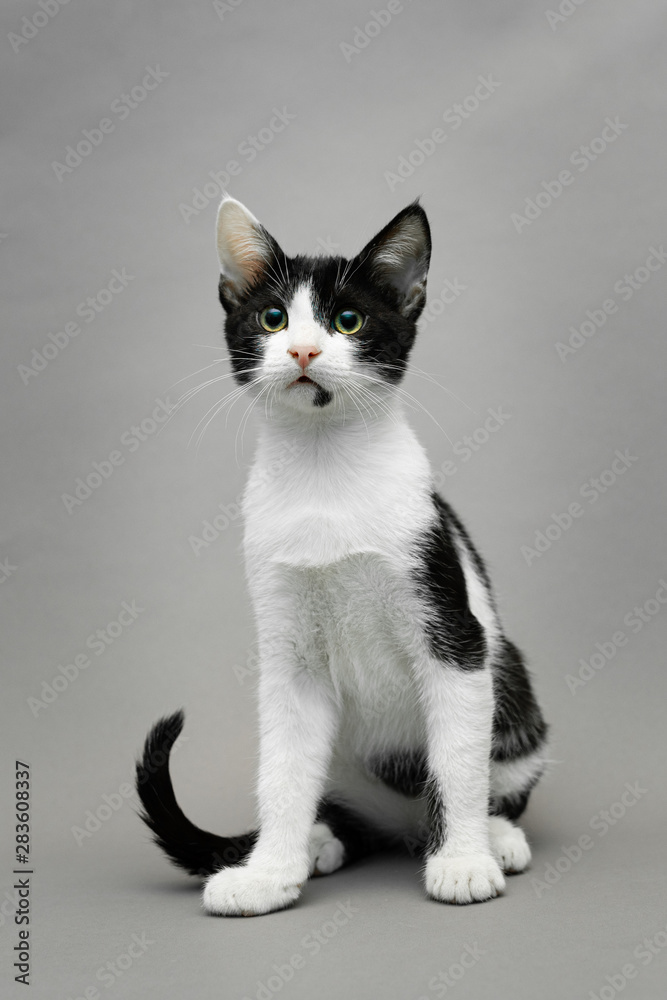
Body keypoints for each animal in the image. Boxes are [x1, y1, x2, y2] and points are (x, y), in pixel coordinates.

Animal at [136, 193, 548, 916]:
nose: (303, 348)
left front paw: (463, 860)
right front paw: (268, 872)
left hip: (515, 691)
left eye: (347, 321)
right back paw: (319, 840)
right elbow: (282, 770)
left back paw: (492, 835)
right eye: (273, 318)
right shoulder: (287, 651)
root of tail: (402, 827)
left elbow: (457, 762)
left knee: (487, 772)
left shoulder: (454, 632)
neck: (323, 472)